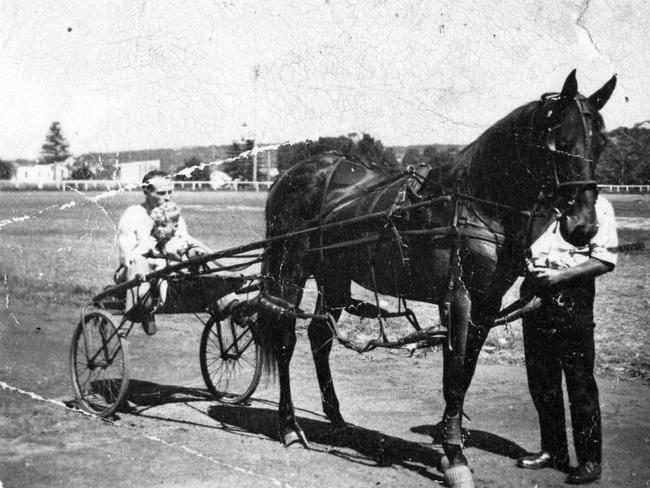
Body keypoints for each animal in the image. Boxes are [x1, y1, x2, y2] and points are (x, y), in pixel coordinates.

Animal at [256, 69, 612, 488]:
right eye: (562, 144)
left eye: (601, 143)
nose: (584, 226)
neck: (474, 202)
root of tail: (293, 175)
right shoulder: (457, 297)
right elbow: (454, 370)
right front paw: (455, 455)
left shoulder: (486, 303)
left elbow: (465, 370)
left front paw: (449, 440)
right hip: (290, 267)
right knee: (284, 336)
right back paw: (289, 426)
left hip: (334, 276)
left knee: (319, 336)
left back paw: (337, 417)